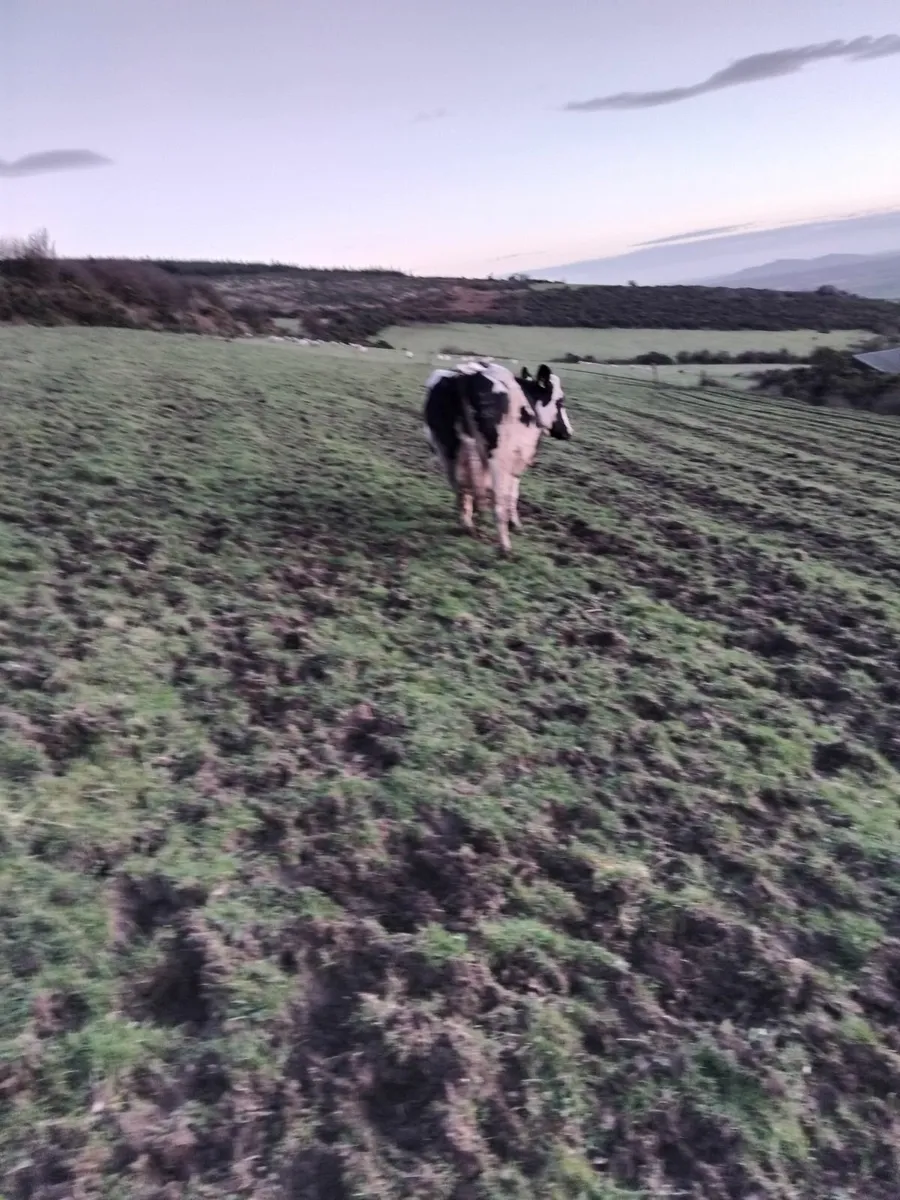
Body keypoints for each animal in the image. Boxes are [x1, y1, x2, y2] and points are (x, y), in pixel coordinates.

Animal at [423, 360, 572, 553]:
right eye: (560, 401)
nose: (569, 432)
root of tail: (463, 377)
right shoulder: (515, 460)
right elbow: (513, 493)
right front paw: (515, 523)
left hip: (447, 450)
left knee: (460, 489)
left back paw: (467, 525)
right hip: (496, 459)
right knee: (498, 502)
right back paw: (505, 546)